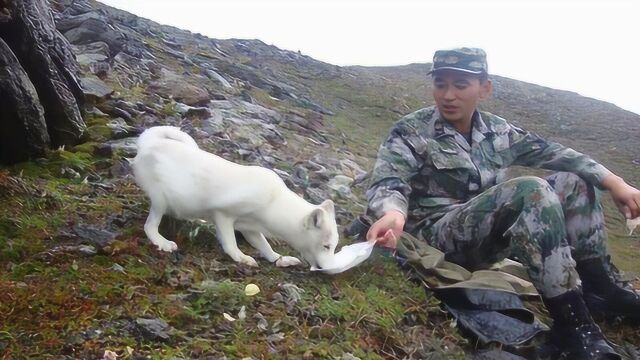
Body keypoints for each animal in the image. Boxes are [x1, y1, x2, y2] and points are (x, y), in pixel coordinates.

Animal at [131, 125, 340, 268]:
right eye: (326, 246)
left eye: (334, 246)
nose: (331, 269)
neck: (273, 202)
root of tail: (149, 142)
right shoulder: (223, 214)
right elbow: (230, 243)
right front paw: (241, 258)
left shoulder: (251, 229)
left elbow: (265, 247)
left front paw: (279, 259)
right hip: (160, 200)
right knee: (149, 225)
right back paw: (161, 241)